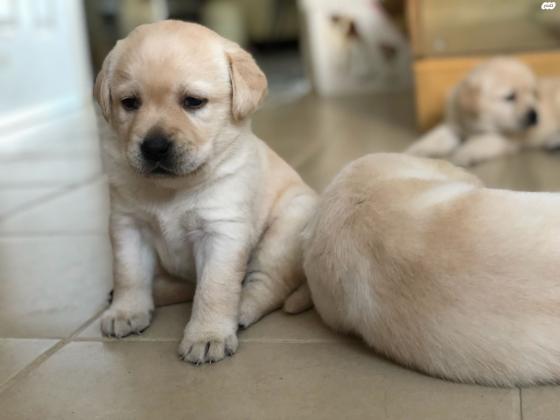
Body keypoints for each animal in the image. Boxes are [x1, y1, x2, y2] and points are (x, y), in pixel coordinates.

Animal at [94, 19, 318, 362]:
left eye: (193, 102)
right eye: (129, 102)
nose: (154, 147)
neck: (173, 187)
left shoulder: (221, 232)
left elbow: (214, 287)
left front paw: (207, 335)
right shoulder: (128, 225)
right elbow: (129, 274)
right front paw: (126, 311)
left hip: (284, 232)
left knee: (265, 286)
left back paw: (240, 311)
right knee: (186, 285)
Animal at [404, 57, 560, 166]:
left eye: (534, 94)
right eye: (510, 97)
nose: (534, 115)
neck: (476, 122)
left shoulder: (501, 138)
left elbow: (476, 143)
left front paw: (460, 155)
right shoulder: (454, 126)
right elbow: (434, 137)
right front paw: (416, 150)